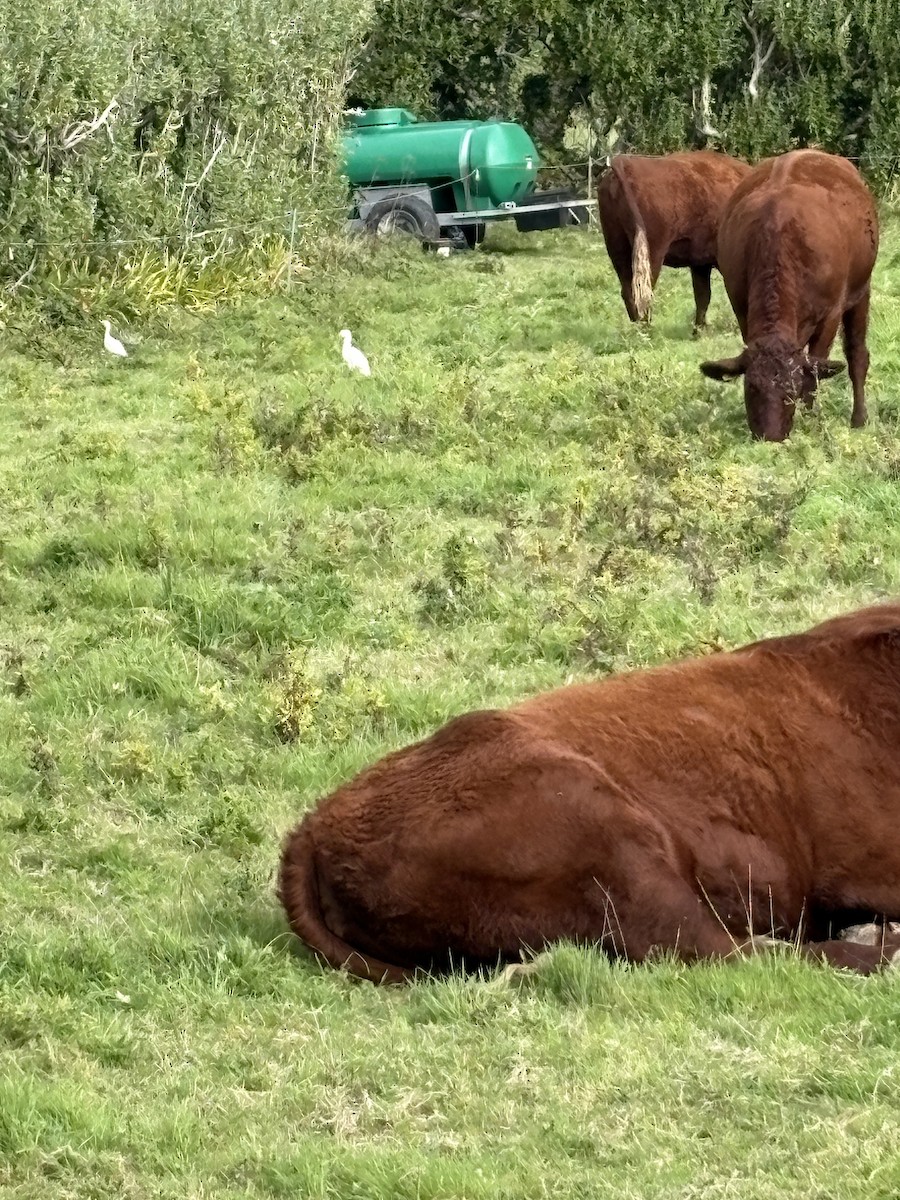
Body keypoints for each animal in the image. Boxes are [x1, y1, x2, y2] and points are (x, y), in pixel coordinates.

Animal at [597, 151, 751, 333]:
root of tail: (626, 165)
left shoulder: (700, 264)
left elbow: (703, 296)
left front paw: (699, 330)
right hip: (653, 252)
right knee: (644, 290)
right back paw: (647, 330)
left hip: (618, 249)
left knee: (629, 290)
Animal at [700, 149, 879, 441]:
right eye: (751, 388)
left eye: (791, 390)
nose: (770, 437)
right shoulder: (741, 308)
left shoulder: (831, 314)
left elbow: (814, 371)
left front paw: (809, 417)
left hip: (861, 291)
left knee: (857, 354)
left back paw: (859, 417)